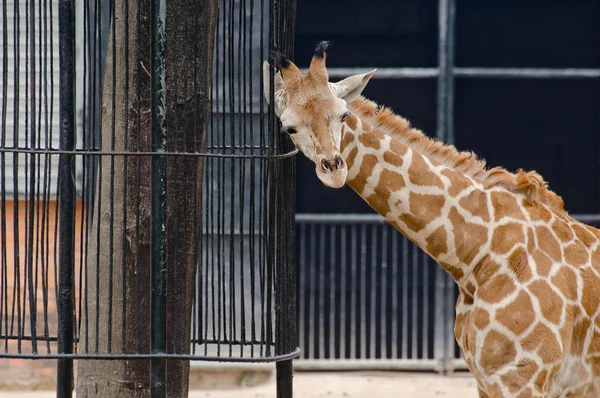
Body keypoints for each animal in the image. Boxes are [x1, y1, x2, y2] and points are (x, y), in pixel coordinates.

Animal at [264, 42, 600, 396]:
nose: (333, 168)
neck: (478, 257)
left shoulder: (522, 379)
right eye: (289, 127)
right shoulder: (487, 379)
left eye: (343, 114)